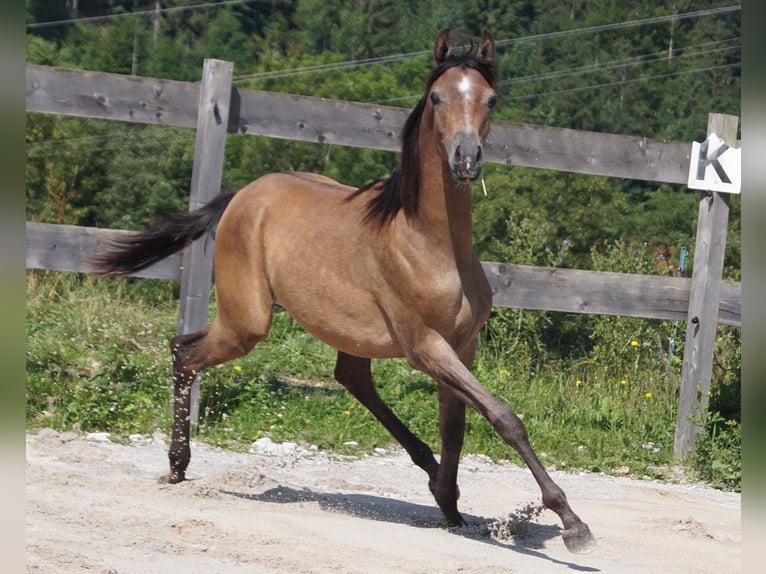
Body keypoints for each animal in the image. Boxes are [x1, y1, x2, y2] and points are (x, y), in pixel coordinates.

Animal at [87, 29, 596, 556]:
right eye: (437, 97)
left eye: (490, 99)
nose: (466, 159)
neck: (432, 244)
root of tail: (244, 195)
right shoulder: (425, 346)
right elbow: (503, 415)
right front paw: (571, 522)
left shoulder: (462, 345)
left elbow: (456, 426)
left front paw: (452, 506)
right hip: (248, 320)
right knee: (184, 352)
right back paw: (176, 467)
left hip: (339, 330)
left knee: (349, 377)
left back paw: (432, 476)